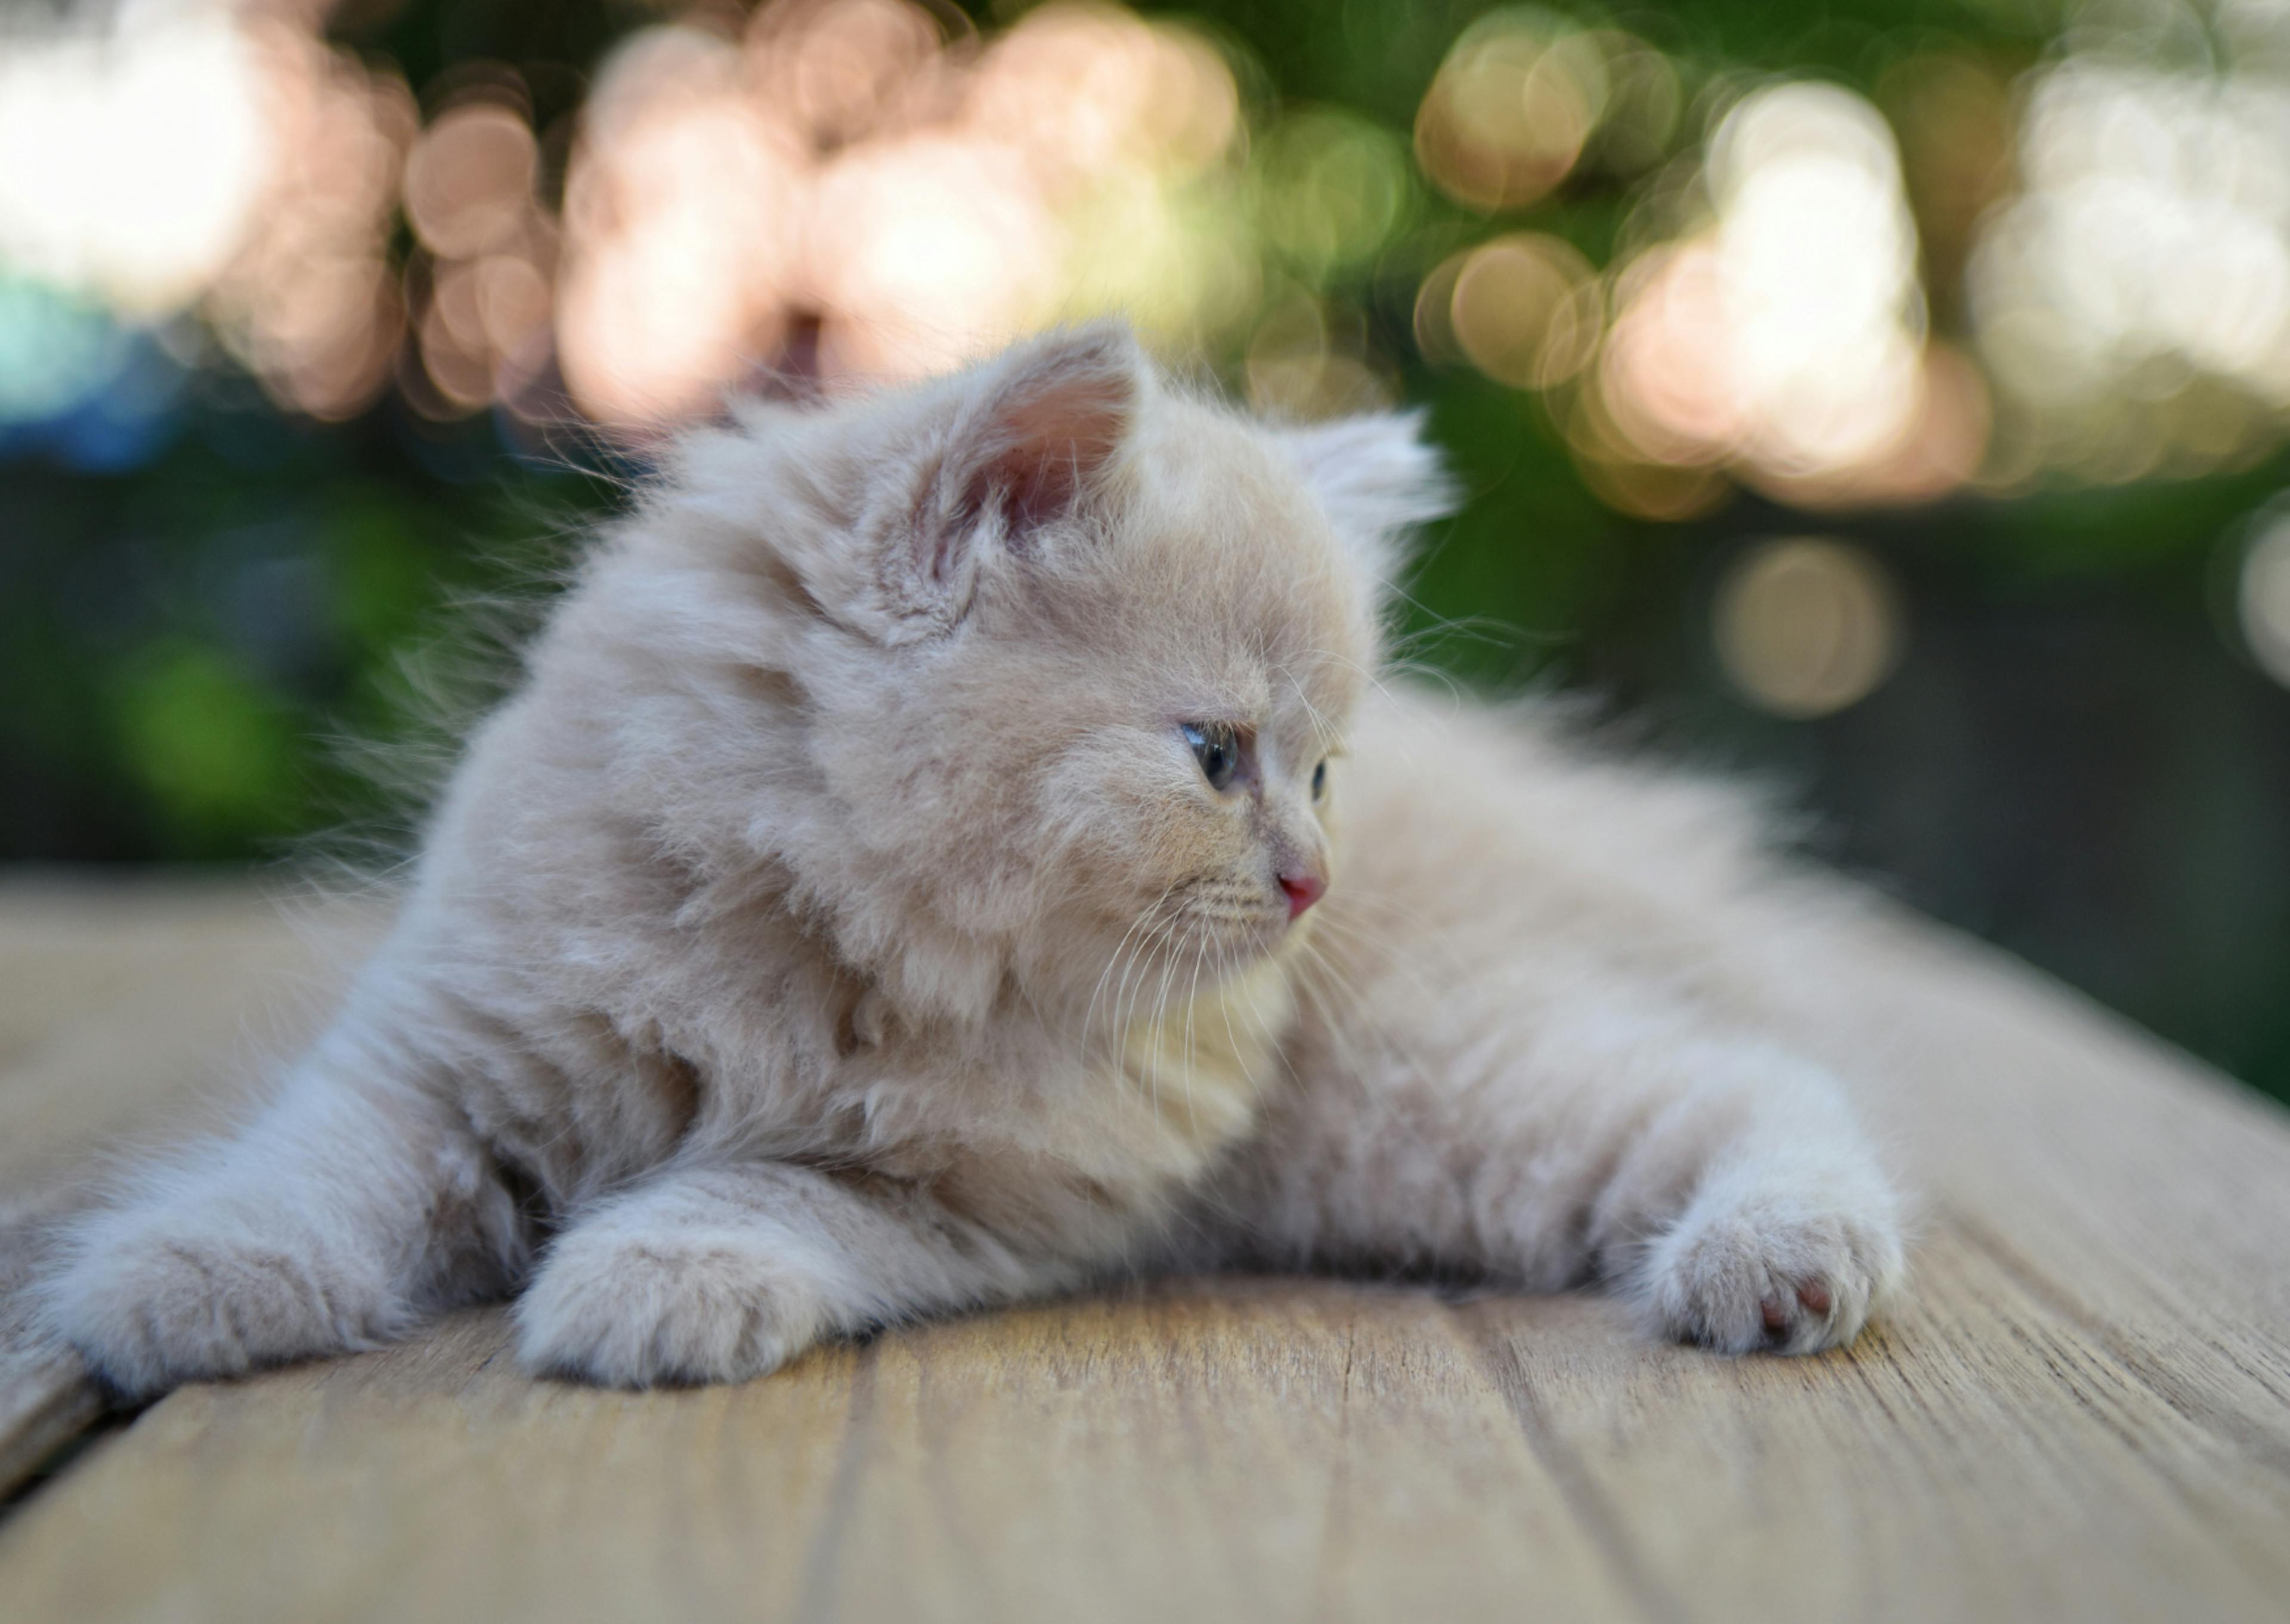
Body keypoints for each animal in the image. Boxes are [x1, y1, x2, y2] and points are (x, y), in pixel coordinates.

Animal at [44, 323, 1905, 1383]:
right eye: (1216, 756)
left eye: (1324, 770)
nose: (1313, 879)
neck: (824, 943)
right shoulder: (447, 1057)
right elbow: (319, 1166)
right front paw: (180, 1277)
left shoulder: (963, 1200)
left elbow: (760, 1185)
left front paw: (648, 1285)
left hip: (1431, 1099)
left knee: (1767, 1086)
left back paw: (1782, 1266)